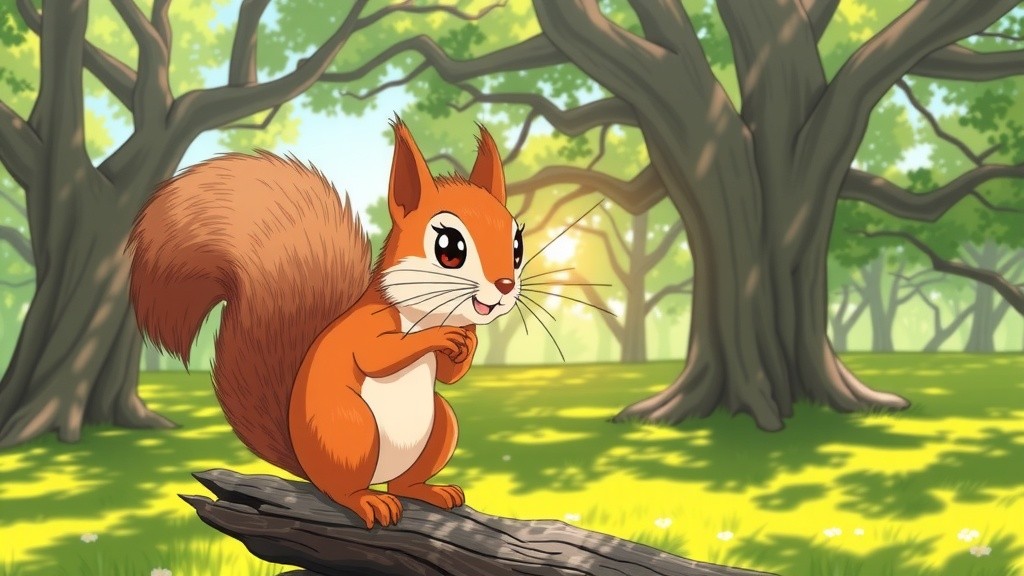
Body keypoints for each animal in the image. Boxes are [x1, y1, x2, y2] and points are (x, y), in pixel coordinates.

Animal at [127, 118, 523, 528]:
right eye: (450, 248)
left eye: (516, 247)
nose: (505, 286)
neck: (426, 311)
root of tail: (306, 464)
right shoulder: (366, 325)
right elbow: (379, 355)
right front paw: (442, 336)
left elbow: (447, 376)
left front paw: (468, 343)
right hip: (351, 428)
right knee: (343, 489)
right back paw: (367, 501)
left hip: (440, 423)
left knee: (403, 483)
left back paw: (430, 491)